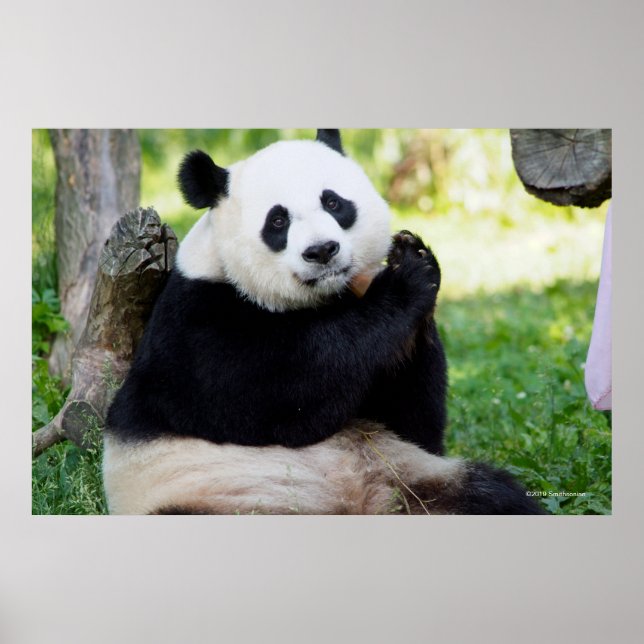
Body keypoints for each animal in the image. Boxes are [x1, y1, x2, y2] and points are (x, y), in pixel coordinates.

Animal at [102, 129, 544, 515]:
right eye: (277, 221)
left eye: (333, 202)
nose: (322, 250)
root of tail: (363, 506)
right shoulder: (196, 327)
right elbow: (289, 392)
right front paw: (405, 281)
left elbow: (413, 423)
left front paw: (413, 255)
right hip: (212, 497)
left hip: (415, 480)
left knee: (490, 494)